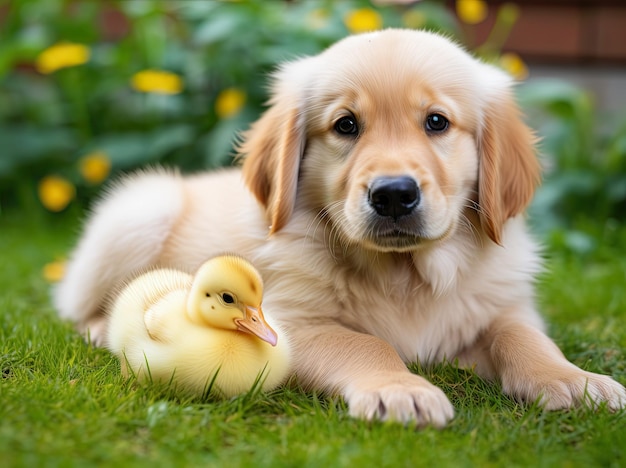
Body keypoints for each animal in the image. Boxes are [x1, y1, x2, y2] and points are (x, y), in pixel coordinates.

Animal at [56, 27, 620, 426]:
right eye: (346, 125)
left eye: (437, 122)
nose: (393, 194)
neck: (404, 275)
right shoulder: (287, 324)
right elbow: (366, 343)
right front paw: (402, 390)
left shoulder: (502, 304)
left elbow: (525, 338)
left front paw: (575, 380)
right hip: (140, 212)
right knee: (75, 306)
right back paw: (102, 327)